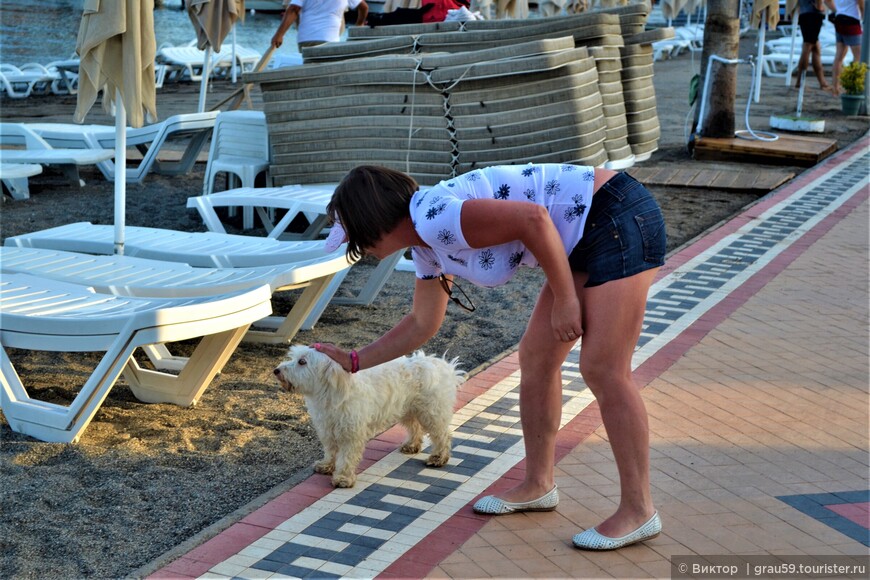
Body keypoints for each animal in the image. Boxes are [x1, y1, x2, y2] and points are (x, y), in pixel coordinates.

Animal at [274, 346, 466, 488]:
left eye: (302, 361)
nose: (276, 370)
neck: (331, 393)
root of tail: (443, 366)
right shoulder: (327, 428)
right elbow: (330, 450)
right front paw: (326, 465)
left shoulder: (351, 433)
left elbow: (347, 456)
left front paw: (343, 478)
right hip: (408, 408)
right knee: (415, 428)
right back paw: (412, 445)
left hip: (431, 412)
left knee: (442, 435)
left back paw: (439, 457)